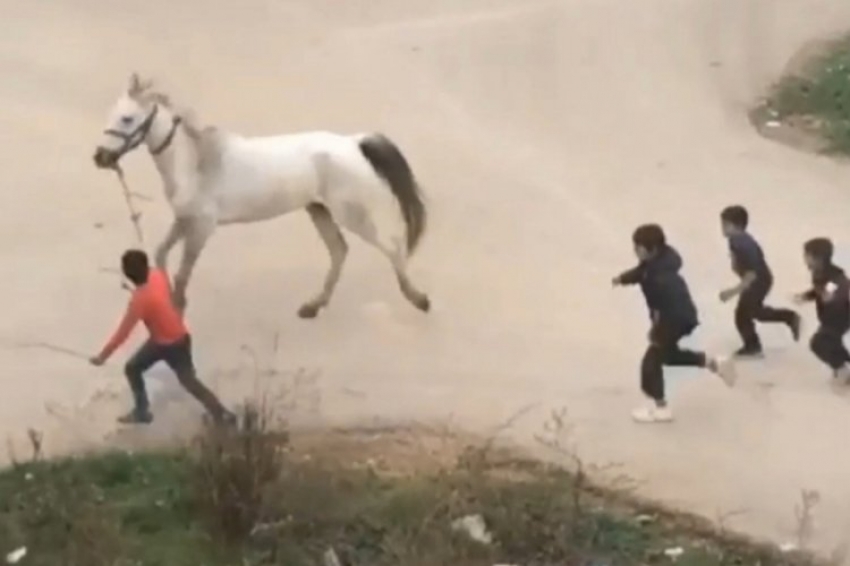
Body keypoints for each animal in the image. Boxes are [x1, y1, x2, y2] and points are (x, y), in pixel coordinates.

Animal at [93, 73, 430, 318]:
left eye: (127, 118)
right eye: (111, 115)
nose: (100, 158)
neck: (196, 163)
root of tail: (354, 143)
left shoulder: (202, 227)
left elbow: (183, 272)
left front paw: (176, 309)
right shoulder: (184, 219)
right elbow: (162, 254)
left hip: (354, 214)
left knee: (392, 247)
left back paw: (419, 299)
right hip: (318, 209)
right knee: (339, 250)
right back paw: (313, 306)